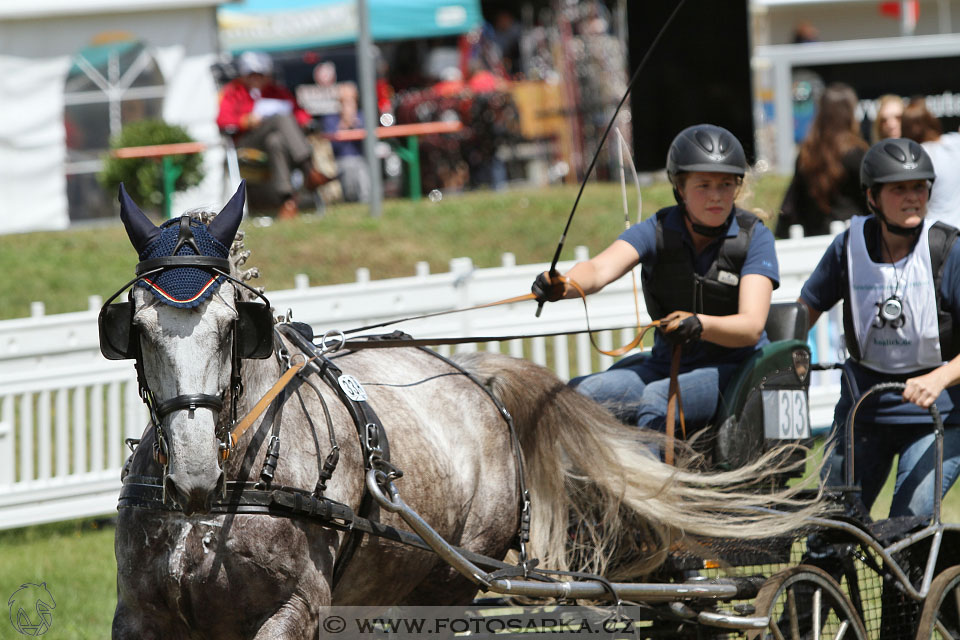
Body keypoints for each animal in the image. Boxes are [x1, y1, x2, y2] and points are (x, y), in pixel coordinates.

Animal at [110, 184, 816, 636]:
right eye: (134, 327)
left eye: (235, 325)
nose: (193, 474)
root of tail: (481, 376)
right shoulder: (141, 616)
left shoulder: (293, 612)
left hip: (445, 583)